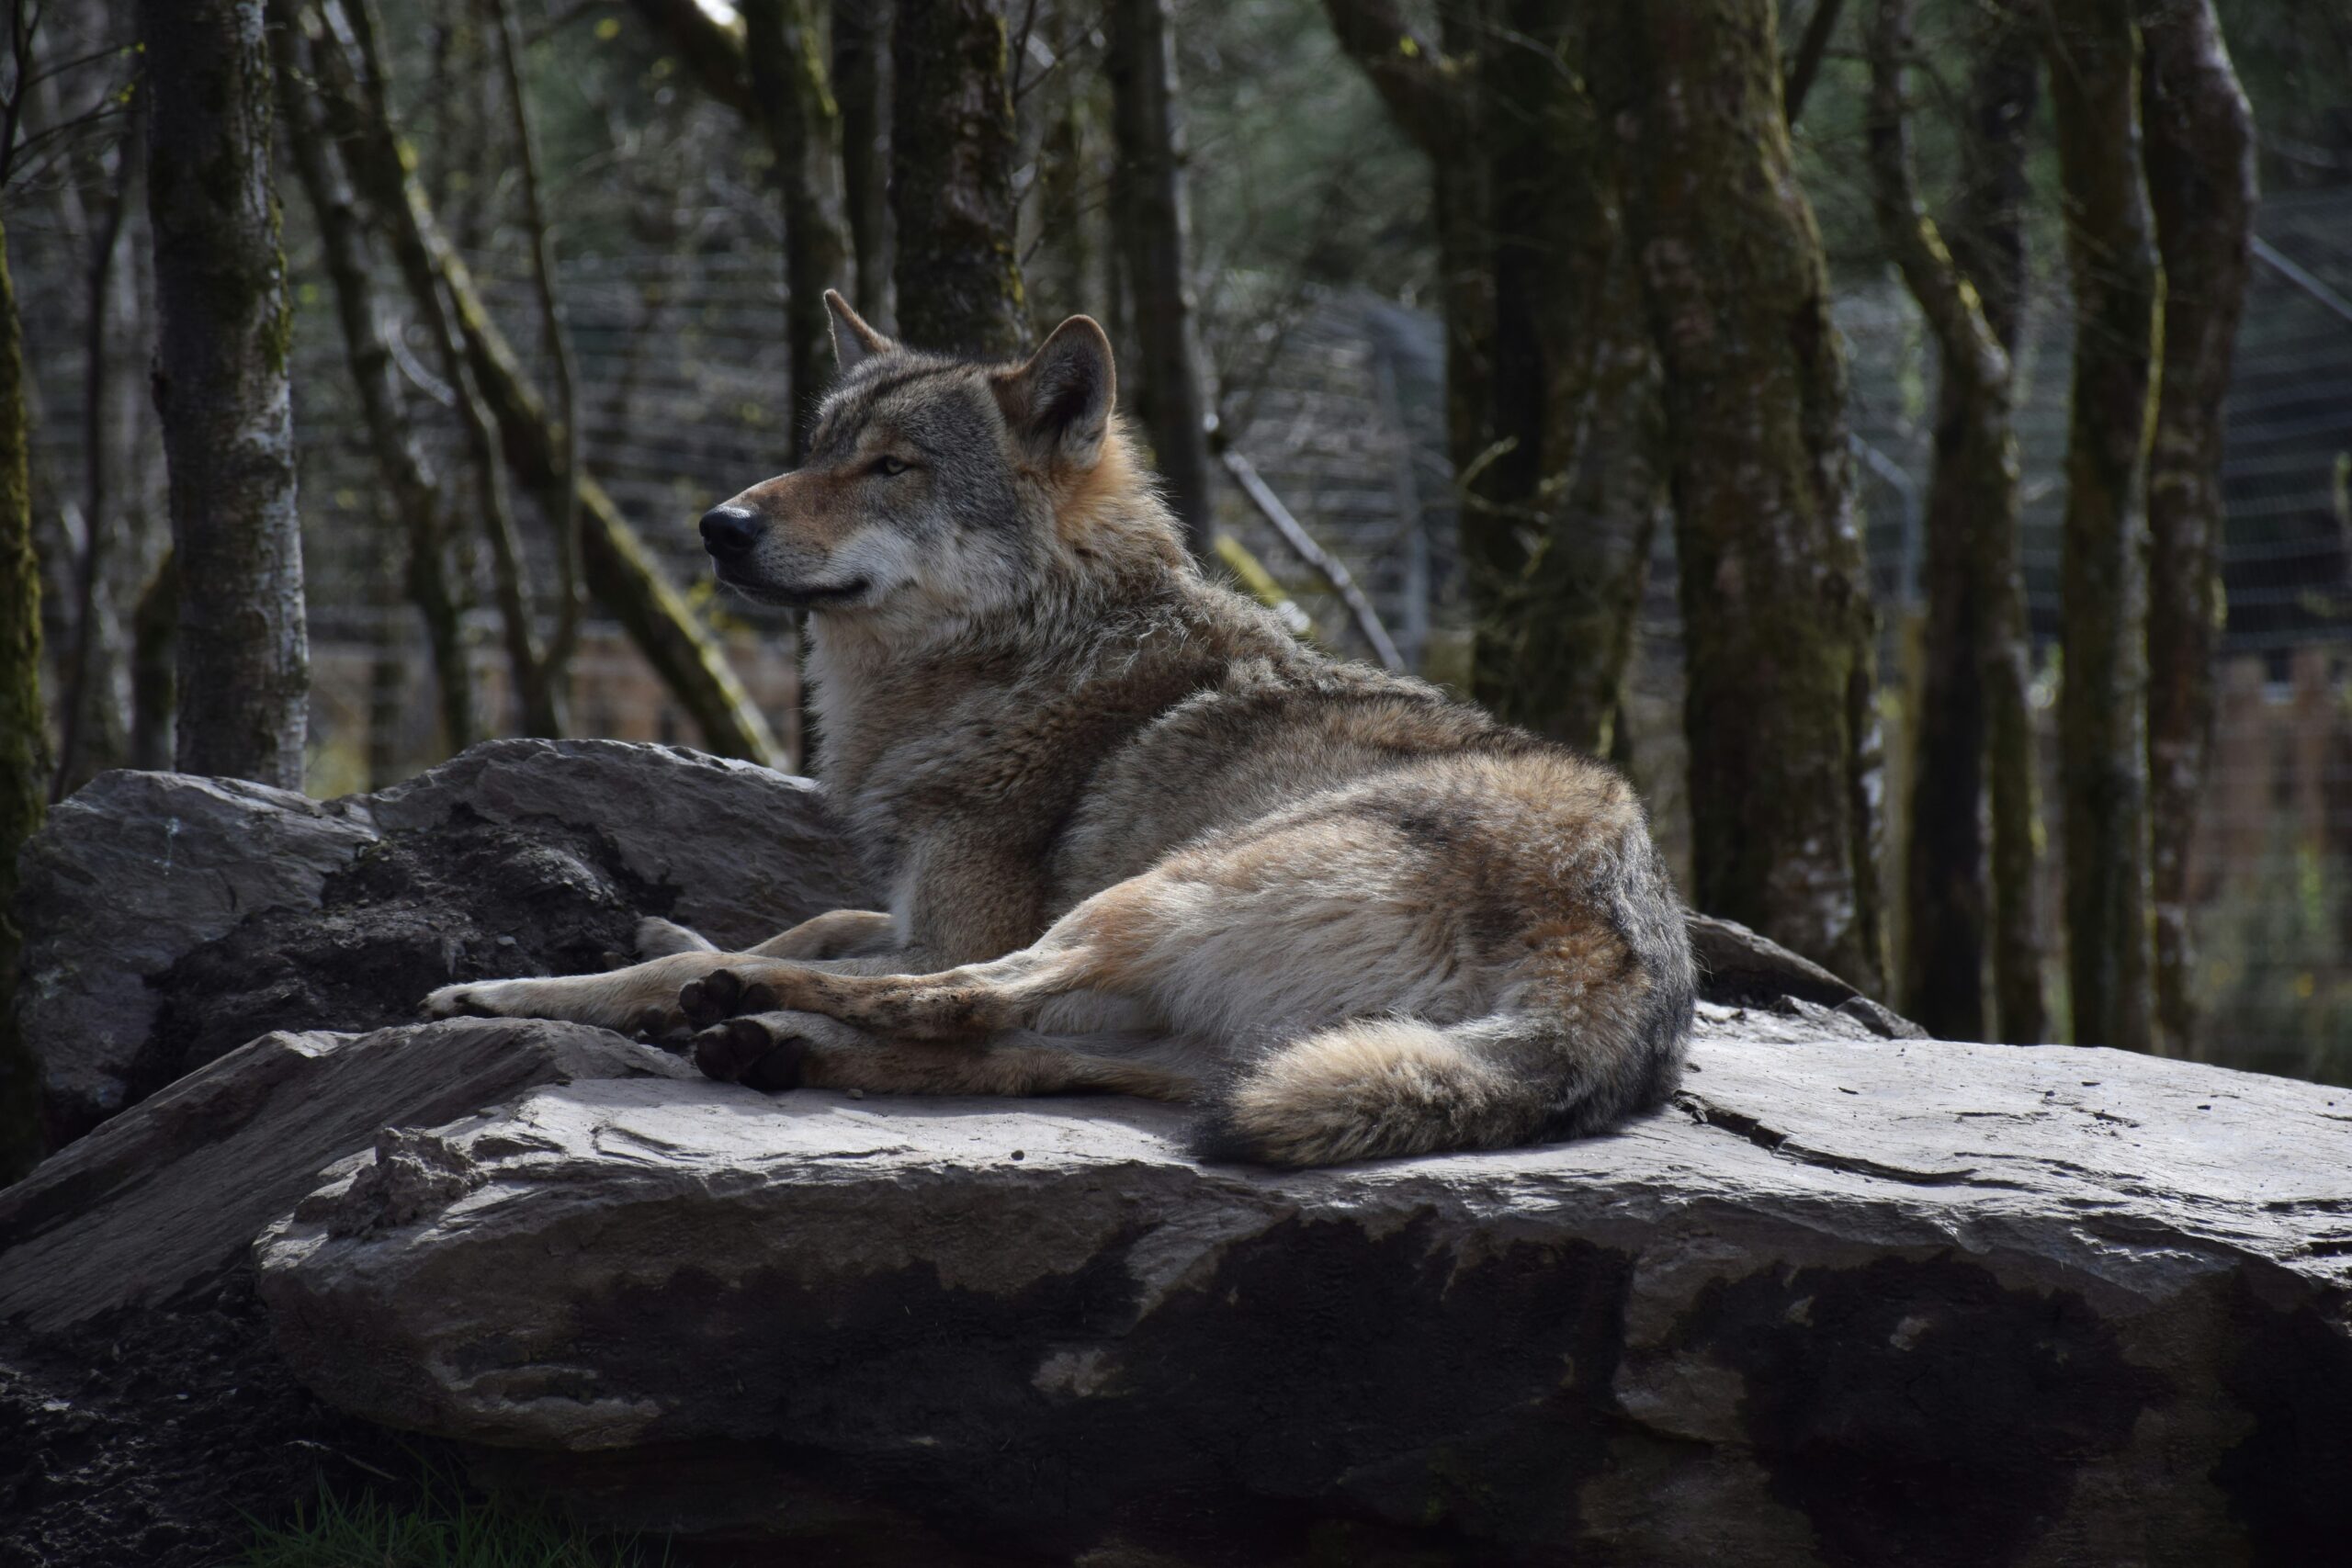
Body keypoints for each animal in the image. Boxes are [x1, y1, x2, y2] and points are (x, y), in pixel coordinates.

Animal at [424, 291, 1695, 1166]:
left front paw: (531, 989)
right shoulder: (907, 906)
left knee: (960, 1002)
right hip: (1190, 1032)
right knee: (1027, 1052)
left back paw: (730, 1014)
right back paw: (774, 1046)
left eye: (892, 468)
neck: (1029, 652)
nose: (718, 525)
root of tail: (1617, 966)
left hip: (1158, 890)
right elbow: (817, 917)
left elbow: (784, 951)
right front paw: (664, 934)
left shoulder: (951, 923)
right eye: (819, 449)